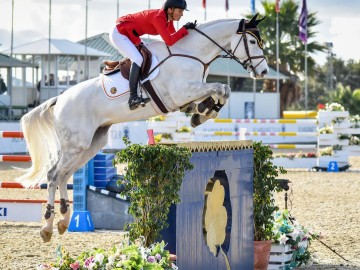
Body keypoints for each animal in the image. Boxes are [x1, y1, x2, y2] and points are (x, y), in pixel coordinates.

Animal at [18, 14, 268, 243]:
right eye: (252, 41)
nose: (263, 73)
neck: (192, 54)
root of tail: (59, 100)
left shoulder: (191, 91)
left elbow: (222, 90)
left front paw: (202, 112)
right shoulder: (182, 91)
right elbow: (221, 87)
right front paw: (203, 113)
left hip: (90, 144)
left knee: (63, 175)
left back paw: (63, 221)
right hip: (76, 144)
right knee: (53, 175)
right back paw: (48, 227)